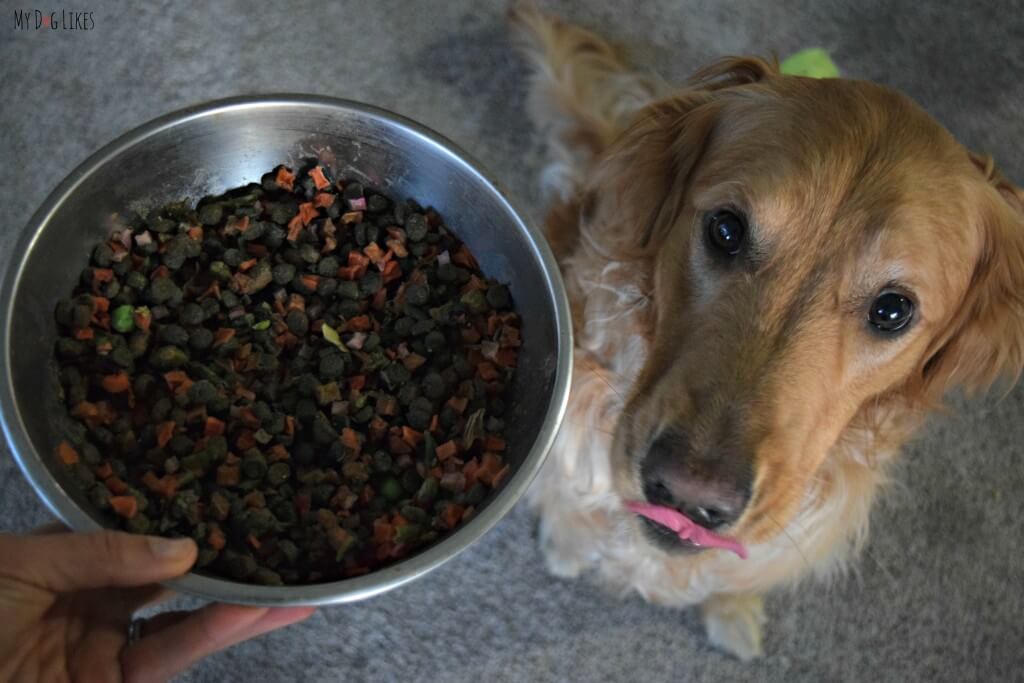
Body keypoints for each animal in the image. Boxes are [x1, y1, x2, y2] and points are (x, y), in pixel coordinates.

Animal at [512, 3, 1024, 655]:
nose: (690, 497)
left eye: (893, 310)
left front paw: (733, 611)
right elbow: (568, 497)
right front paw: (567, 543)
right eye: (726, 230)